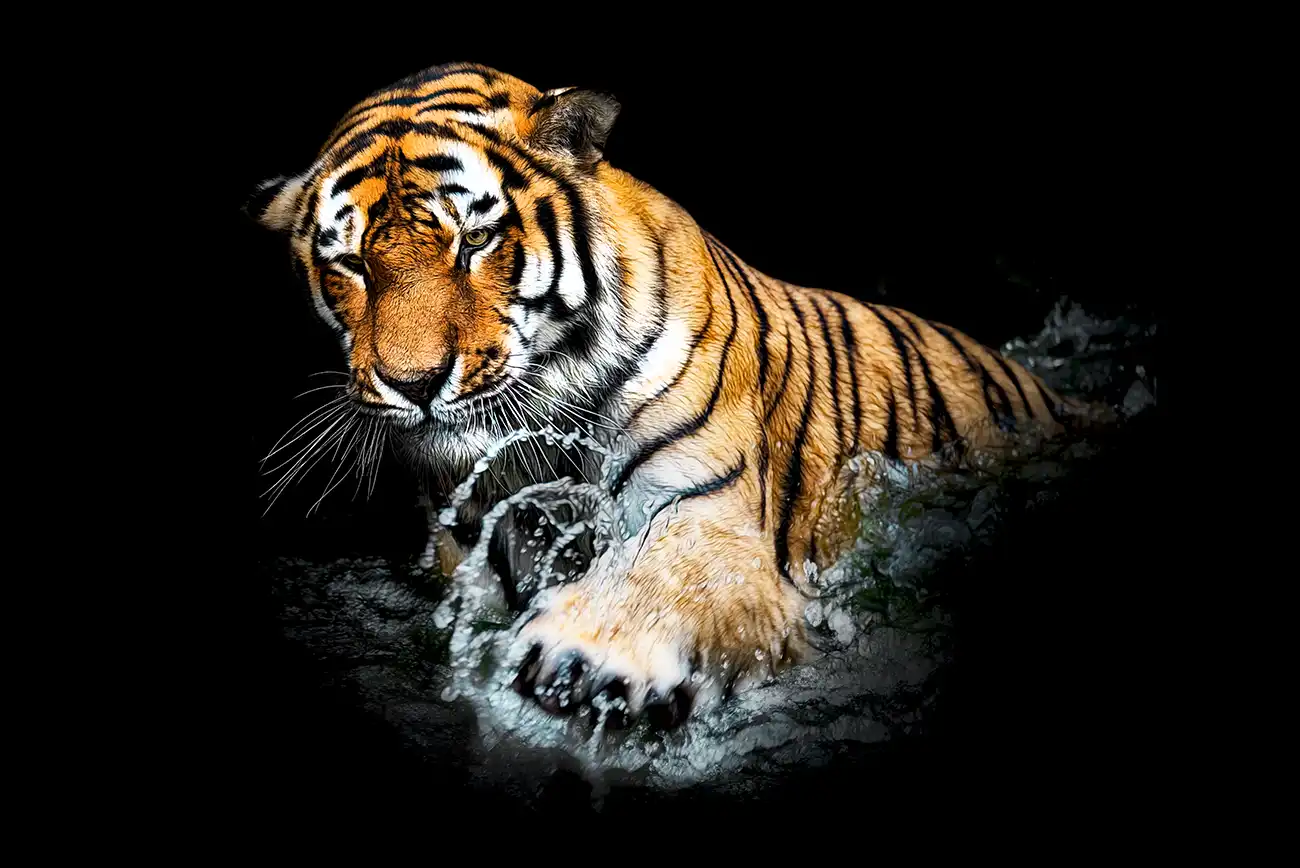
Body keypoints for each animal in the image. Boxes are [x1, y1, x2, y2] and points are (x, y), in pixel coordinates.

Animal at [246, 61, 1098, 730]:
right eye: (351, 264)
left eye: (476, 241)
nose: (416, 383)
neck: (543, 439)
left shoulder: (713, 515)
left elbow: (667, 575)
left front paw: (588, 657)